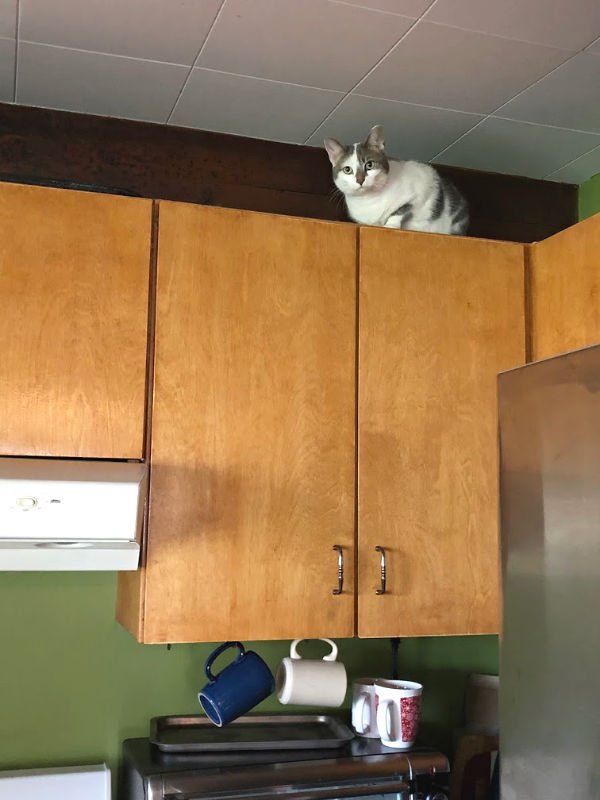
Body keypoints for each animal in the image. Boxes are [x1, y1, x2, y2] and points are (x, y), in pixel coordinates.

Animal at [324, 122, 468, 234]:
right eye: (347, 170)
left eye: (369, 165)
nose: (360, 180)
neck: (368, 200)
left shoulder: (423, 186)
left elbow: (400, 210)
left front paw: (391, 225)